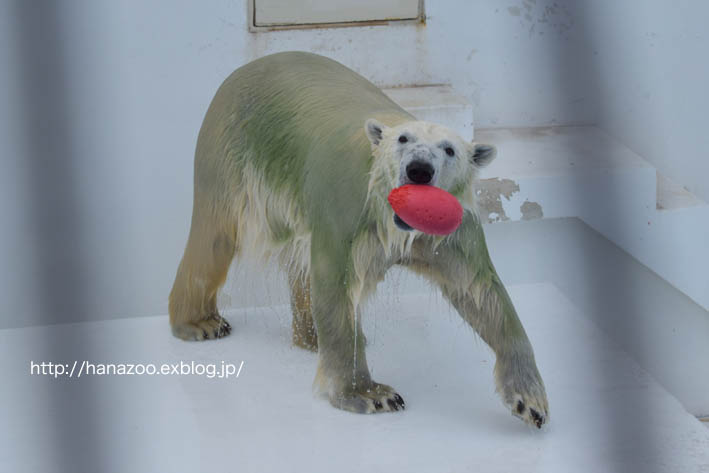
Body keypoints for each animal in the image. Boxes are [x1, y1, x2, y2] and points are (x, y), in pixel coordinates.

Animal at [167, 51, 548, 428]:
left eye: (449, 149)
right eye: (403, 140)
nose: (419, 169)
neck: (393, 221)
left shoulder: (453, 230)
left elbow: (480, 291)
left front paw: (529, 399)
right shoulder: (346, 208)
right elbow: (337, 287)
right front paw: (371, 395)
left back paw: (310, 336)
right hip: (229, 147)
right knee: (215, 235)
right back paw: (201, 323)